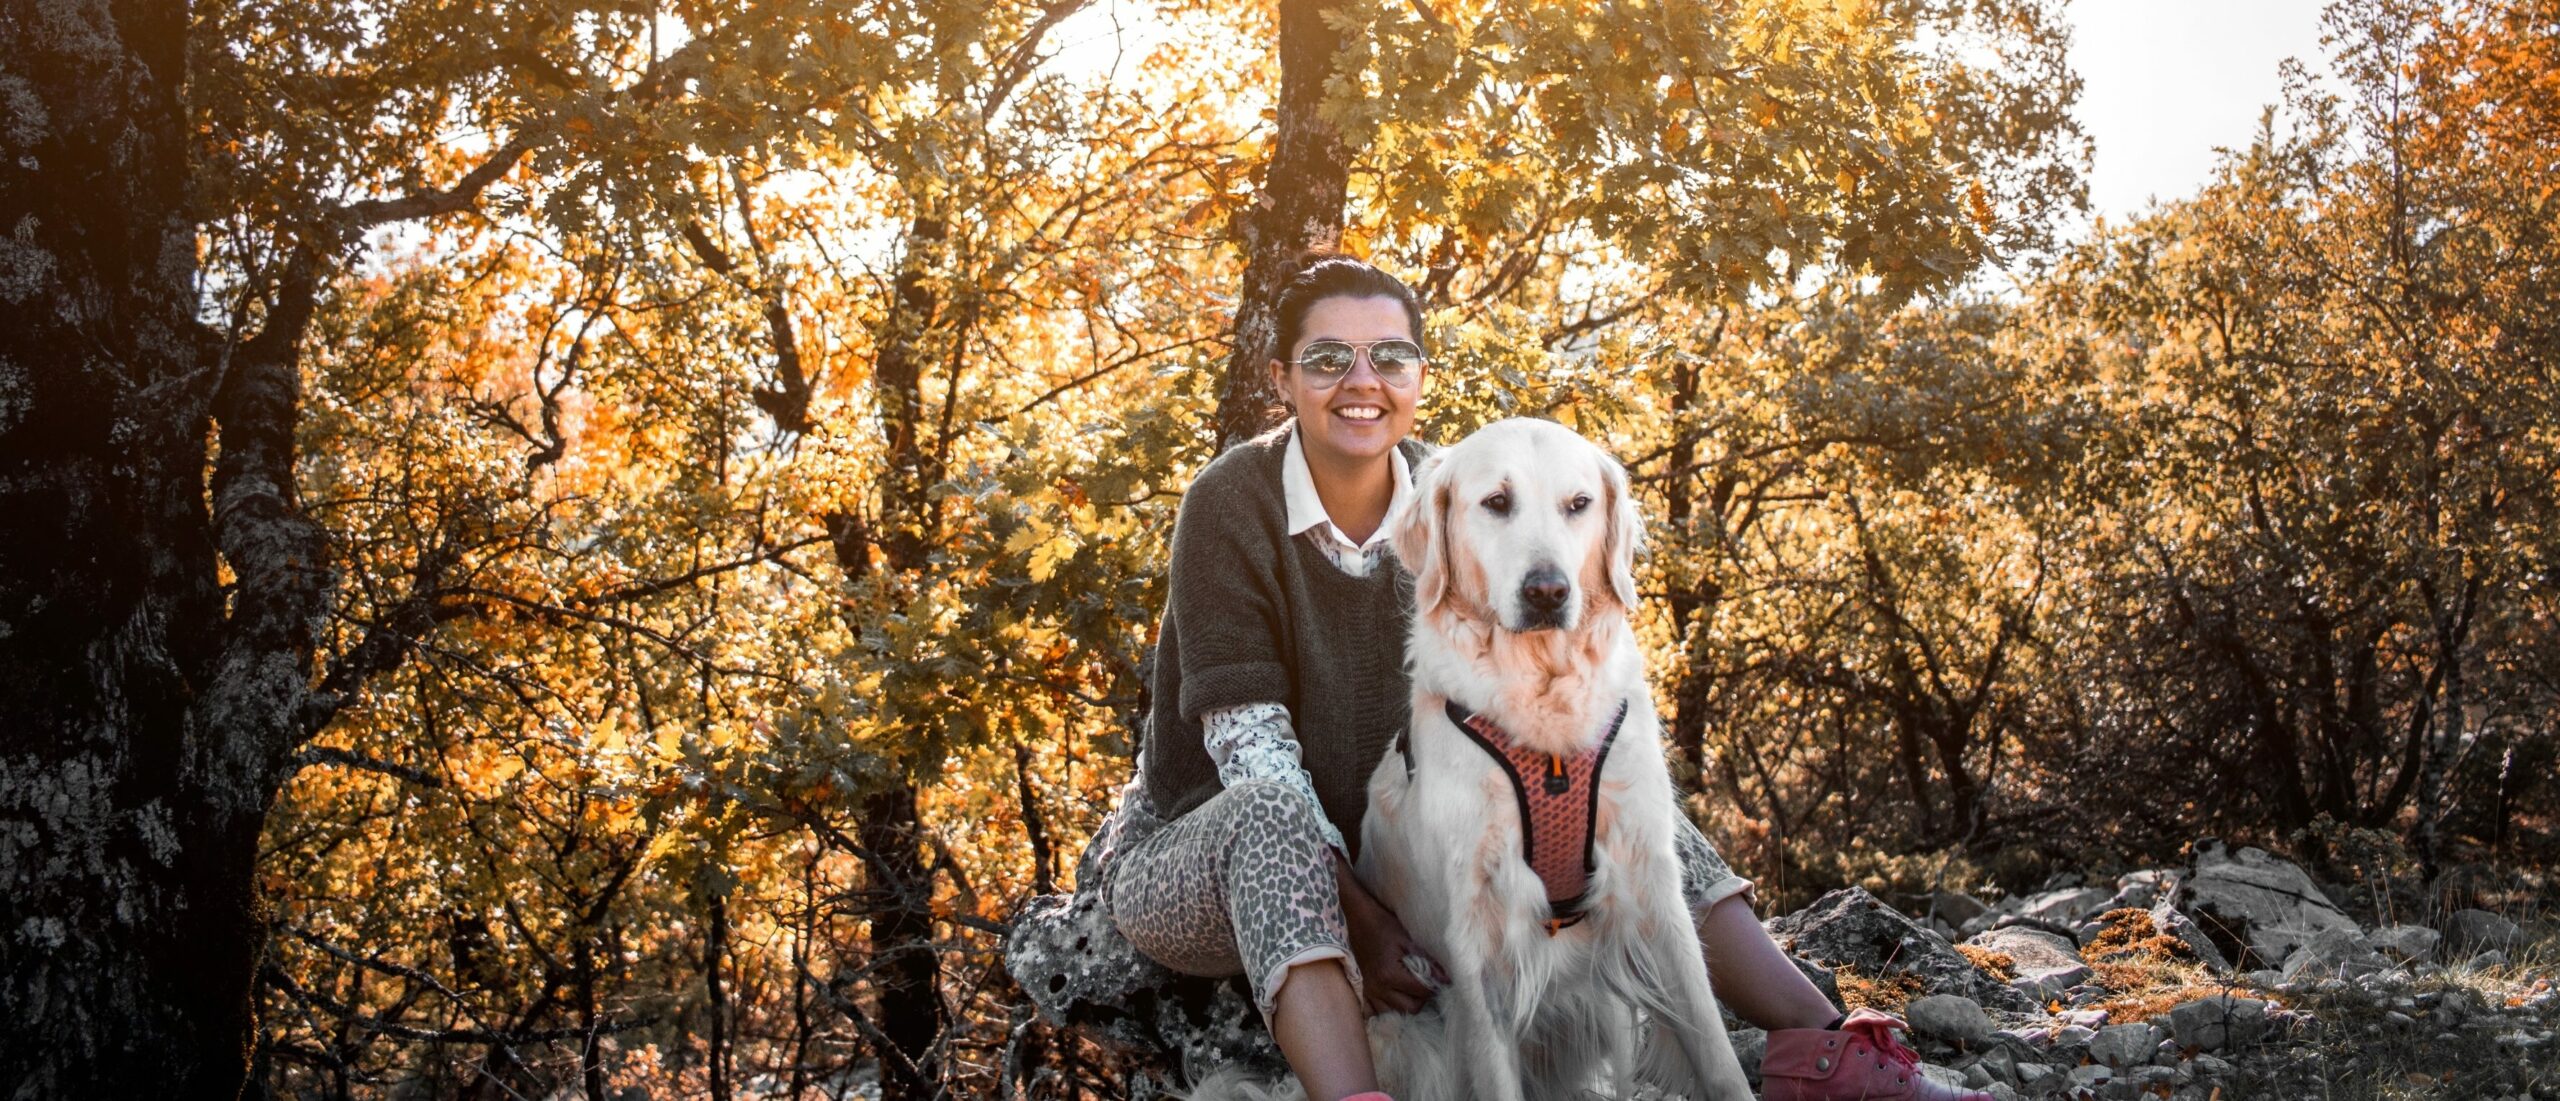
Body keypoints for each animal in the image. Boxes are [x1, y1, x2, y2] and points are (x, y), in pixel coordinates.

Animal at [1361, 419, 1761, 1101]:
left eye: (1579, 504)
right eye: (1496, 502)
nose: (1547, 591)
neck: (1546, 710)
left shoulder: (1650, 877)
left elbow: (1711, 1042)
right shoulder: (1478, 928)